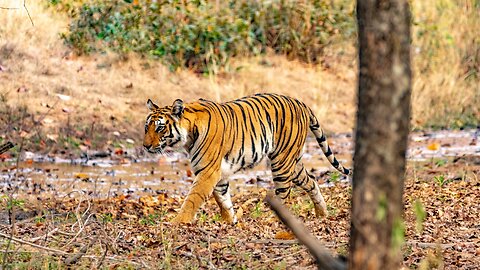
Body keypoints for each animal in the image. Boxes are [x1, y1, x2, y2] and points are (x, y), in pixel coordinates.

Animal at [144, 93, 350, 224]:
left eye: (160, 128)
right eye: (147, 127)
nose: (145, 146)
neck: (188, 135)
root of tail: (300, 102)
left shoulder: (208, 172)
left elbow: (192, 199)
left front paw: (177, 223)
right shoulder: (219, 174)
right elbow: (223, 200)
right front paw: (230, 222)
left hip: (281, 162)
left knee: (284, 192)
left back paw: (273, 219)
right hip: (293, 161)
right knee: (312, 181)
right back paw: (322, 213)